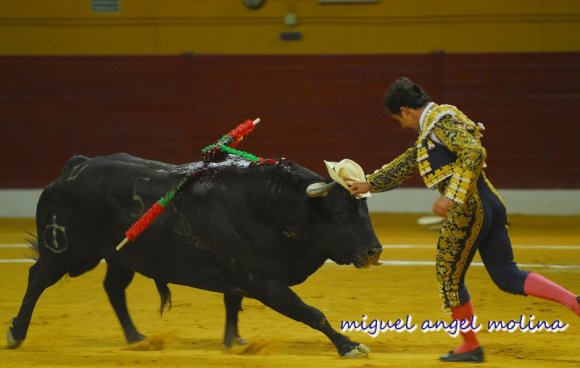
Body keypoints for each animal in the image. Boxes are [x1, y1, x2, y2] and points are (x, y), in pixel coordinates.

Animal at [7, 152, 386, 356]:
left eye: (365, 210)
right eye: (340, 214)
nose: (373, 251)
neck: (272, 207)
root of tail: (74, 168)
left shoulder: (241, 278)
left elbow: (232, 304)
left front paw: (233, 342)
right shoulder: (262, 280)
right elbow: (311, 312)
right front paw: (349, 346)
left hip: (121, 258)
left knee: (113, 288)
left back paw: (136, 338)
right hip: (66, 252)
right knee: (37, 278)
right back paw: (16, 333)